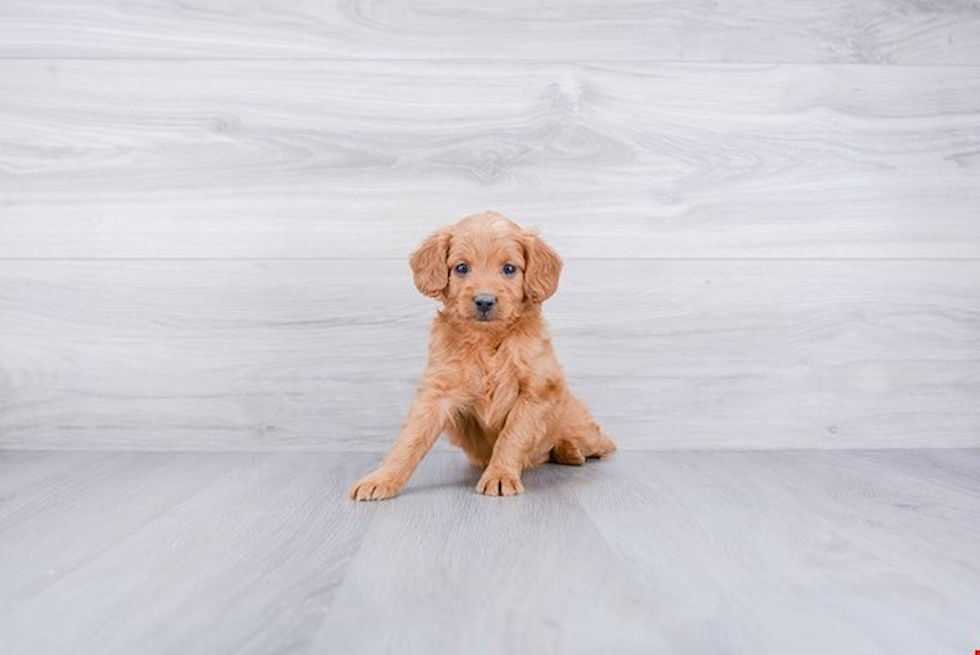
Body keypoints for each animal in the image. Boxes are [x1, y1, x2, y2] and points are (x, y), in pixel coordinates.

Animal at [350, 210, 612, 502]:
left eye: (509, 269)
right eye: (461, 268)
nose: (484, 301)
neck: (487, 340)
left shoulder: (536, 391)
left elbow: (512, 436)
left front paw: (500, 475)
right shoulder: (437, 392)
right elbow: (409, 439)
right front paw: (381, 478)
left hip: (580, 425)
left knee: (600, 441)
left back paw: (573, 450)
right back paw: (567, 452)